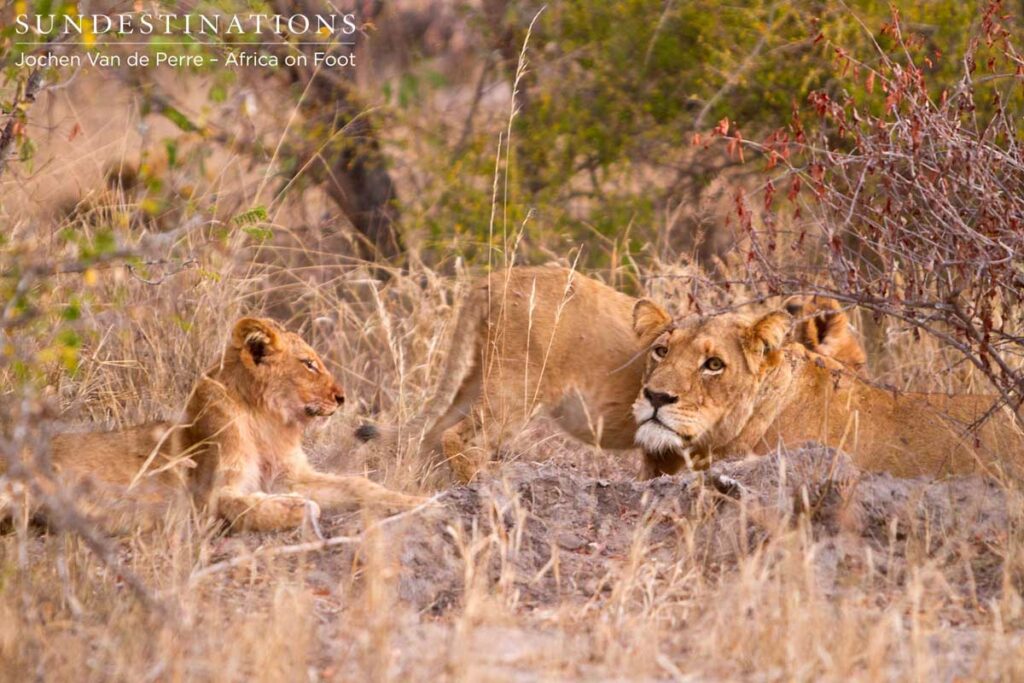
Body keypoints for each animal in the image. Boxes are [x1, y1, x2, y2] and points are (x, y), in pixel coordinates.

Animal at [4, 317, 425, 533]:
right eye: (309, 364)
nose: (342, 398)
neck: (267, 421)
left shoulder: (291, 474)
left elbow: (358, 484)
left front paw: (415, 501)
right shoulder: (205, 495)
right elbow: (251, 505)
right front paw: (298, 508)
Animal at [356, 266, 868, 483]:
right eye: (860, 363)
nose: (862, 380)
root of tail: (493, 280)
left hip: (478, 378)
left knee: (431, 435)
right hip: (515, 387)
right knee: (458, 437)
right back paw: (479, 485)